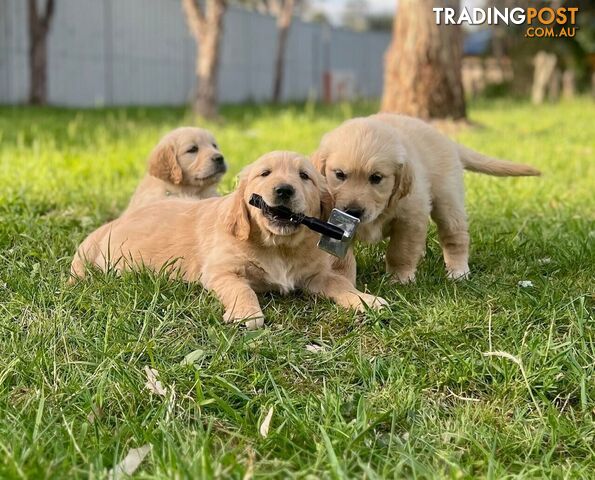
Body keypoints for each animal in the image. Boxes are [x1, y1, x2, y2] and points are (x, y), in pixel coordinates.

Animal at [71, 152, 386, 328]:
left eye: (304, 176)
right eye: (264, 173)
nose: (284, 190)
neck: (279, 247)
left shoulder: (315, 276)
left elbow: (340, 283)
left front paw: (366, 299)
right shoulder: (221, 271)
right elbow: (241, 289)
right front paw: (246, 314)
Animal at [314, 114, 544, 284]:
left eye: (376, 178)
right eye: (340, 174)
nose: (353, 211)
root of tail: (447, 140)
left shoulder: (410, 217)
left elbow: (401, 250)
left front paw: (400, 278)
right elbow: (340, 258)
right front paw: (342, 280)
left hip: (448, 201)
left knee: (455, 236)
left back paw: (458, 271)